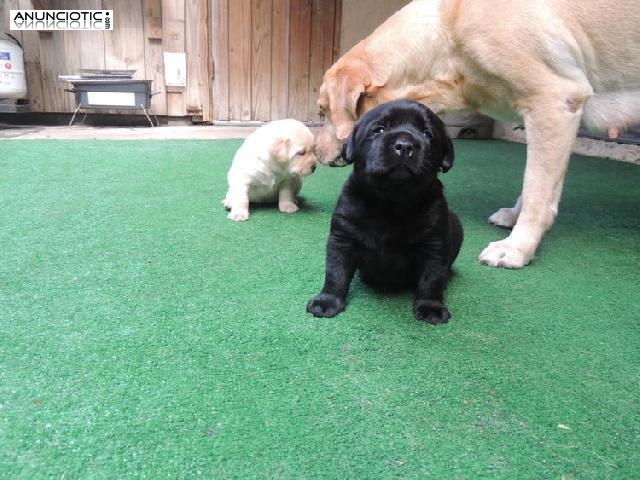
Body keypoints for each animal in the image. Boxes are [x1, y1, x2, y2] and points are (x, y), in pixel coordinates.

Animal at [308, 98, 462, 324]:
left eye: (427, 133)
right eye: (379, 129)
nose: (404, 146)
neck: (391, 203)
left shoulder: (434, 245)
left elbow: (431, 279)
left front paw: (430, 306)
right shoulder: (342, 238)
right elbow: (335, 272)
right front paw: (328, 299)